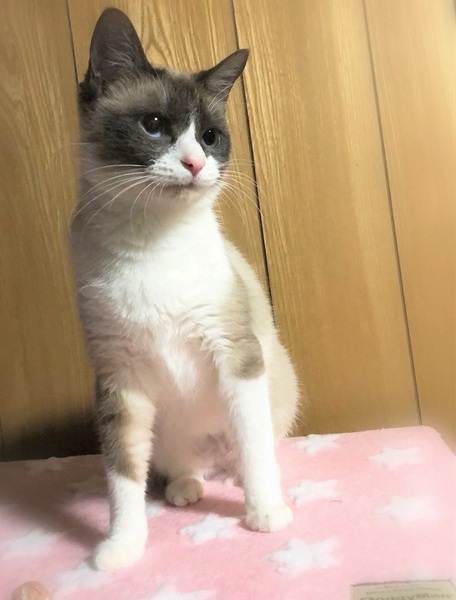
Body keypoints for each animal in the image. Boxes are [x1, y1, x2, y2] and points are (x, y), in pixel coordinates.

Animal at [70, 8, 300, 571]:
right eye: (154, 126)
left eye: (211, 137)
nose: (195, 164)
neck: (154, 242)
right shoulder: (119, 378)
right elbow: (122, 476)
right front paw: (122, 547)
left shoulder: (235, 353)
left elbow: (254, 446)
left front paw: (264, 514)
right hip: (165, 427)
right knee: (180, 464)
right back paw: (187, 488)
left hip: (272, 383)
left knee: (248, 448)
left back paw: (237, 481)